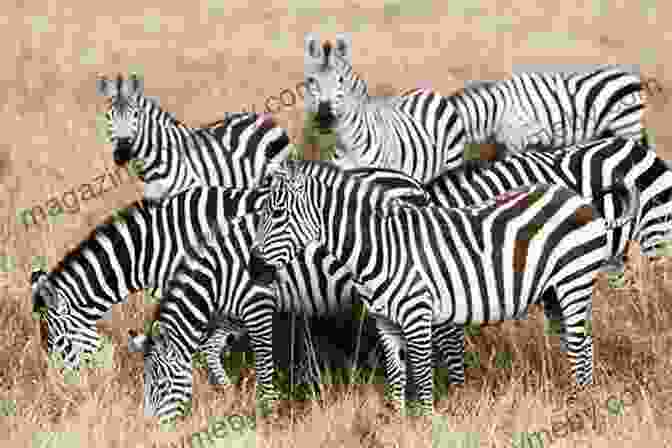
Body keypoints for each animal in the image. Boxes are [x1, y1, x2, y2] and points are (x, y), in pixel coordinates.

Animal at [249, 159, 636, 414]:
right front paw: (399, 423)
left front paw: (427, 422)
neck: (383, 248)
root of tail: (576, 198)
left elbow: (421, 376)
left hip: (574, 282)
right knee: (579, 344)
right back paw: (577, 397)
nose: (254, 268)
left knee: (580, 345)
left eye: (277, 214)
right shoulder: (386, 322)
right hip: (554, 293)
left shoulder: (418, 315)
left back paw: (583, 402)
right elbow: (397, 375)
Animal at [304, 31, 468, 183]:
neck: (348, 144)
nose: (324, 118)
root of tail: (427, 90)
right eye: (311, 80)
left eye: (341, 80)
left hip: (452, 161)